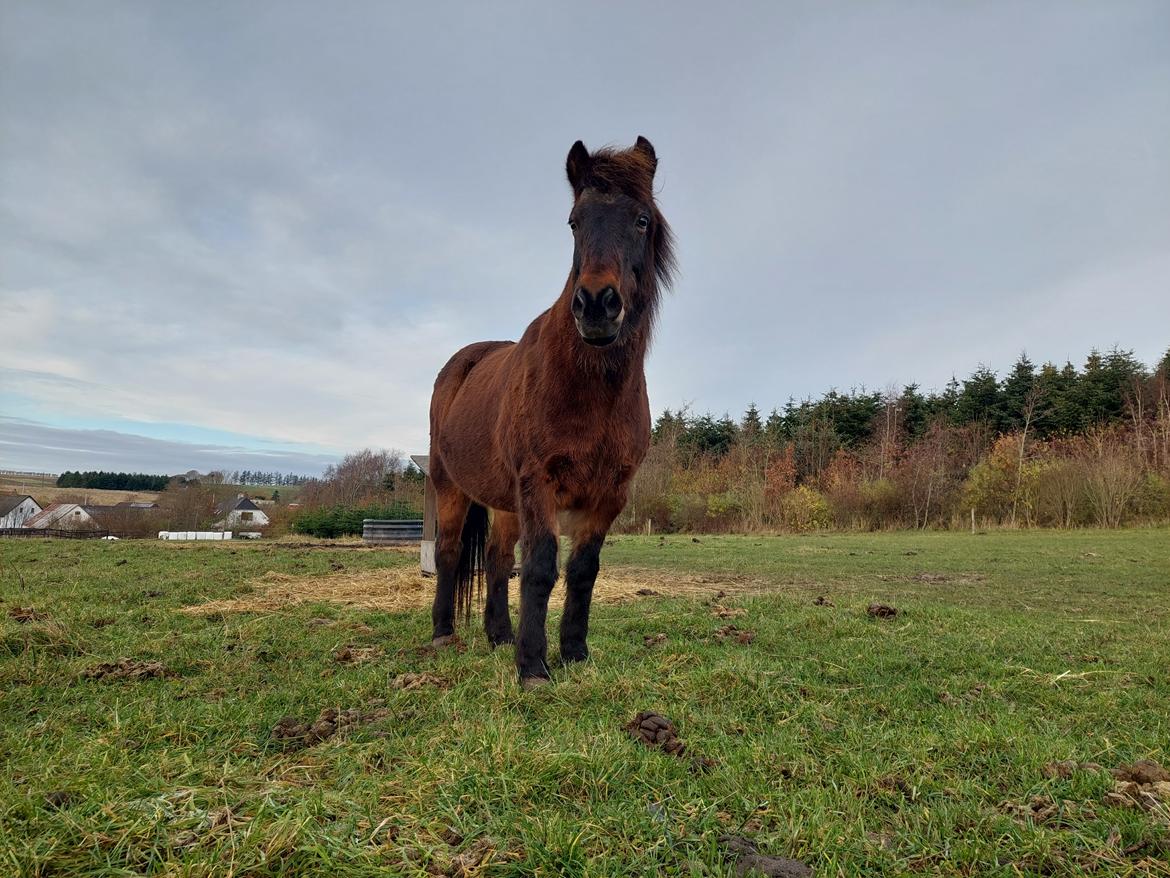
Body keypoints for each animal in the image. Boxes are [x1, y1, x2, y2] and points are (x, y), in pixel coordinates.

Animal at [428, 135, 678, 688]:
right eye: (574, 222)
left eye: (642, 219)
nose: (597, 304)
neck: (589, 391)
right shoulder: (539, 482)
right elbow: (541, 569)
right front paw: (533, 667)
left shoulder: (609, 494)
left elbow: (583, 571)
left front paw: (574, 652)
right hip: (449, 485)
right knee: (450, 552)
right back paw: (443, 635)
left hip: (504, 502)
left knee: (498, 560)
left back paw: (498, 635)